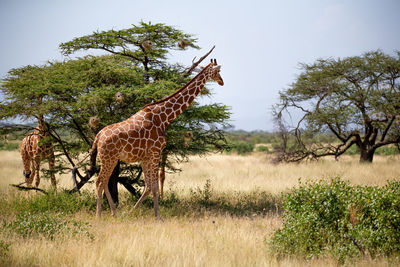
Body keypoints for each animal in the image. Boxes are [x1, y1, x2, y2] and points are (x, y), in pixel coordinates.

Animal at [88, 58, 223, 218]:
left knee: (104, 182)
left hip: (111, 159)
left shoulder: (146, 157)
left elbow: (148, 186)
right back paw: (99, 215)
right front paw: (158, 217)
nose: (222, 81)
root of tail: (98, 136)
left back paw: (114, 212)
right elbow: (154, 187)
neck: (164, 118)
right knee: (99, 182)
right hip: (108, 158)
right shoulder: (156, 152)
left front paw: (133, 211)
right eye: (218, 71)